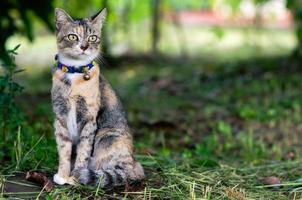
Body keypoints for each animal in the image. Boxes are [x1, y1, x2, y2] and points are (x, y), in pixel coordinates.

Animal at [51, 7, 145, 188]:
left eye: (92, 37)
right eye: (73, 36)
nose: (84, 46)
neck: (74, 73)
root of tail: (135, 163)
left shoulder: (89, 119)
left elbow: (83, 151)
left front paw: (76, 176)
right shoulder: (60, 117)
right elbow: (64, 150)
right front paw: (63, 175)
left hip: (107, 136)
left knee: (122, 171)